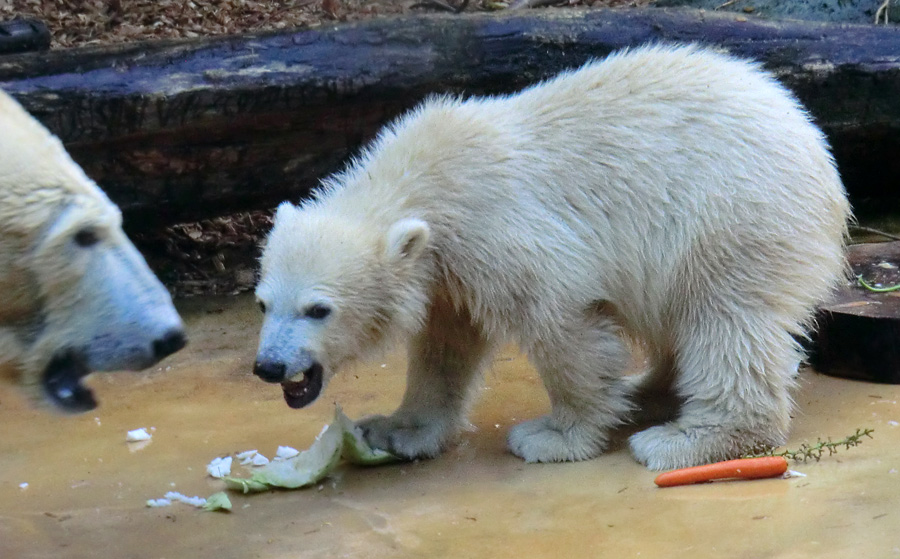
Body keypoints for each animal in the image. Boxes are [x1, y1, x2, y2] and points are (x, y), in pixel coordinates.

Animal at [253, 46, 852, 470]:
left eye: (318, 309)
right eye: (264, 303)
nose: (268, 367)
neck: (426, 180)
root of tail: (813, 140)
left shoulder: (499, 226)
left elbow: (559, 318)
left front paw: (553, 435)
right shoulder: (447, 268)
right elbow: (445, 345)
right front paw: (395, 430)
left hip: (731, 216)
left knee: (725, 318)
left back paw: (684, 439)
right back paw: (645, 390)